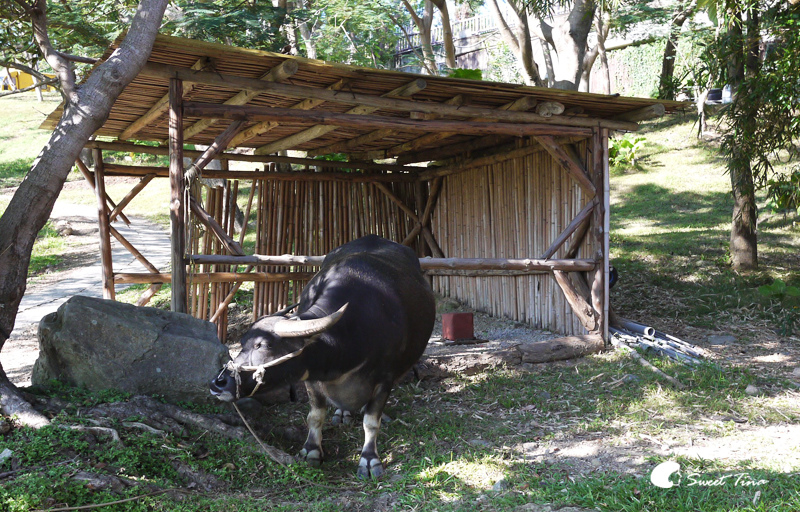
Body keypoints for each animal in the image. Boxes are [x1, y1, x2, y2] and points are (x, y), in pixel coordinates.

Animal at [210, 235, 436, 479]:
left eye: (263, 345)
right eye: (242, 343)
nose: (218, 383)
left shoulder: (385, 378)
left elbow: (371, 421)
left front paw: (369, 460)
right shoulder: (312, 378)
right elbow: (315, 415)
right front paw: (311, 450)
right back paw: (343, 412)